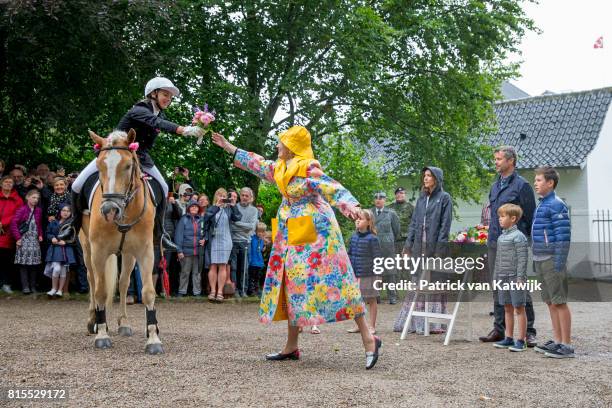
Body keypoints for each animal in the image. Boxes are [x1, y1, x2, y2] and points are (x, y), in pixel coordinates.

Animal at [80, 128, 163, 354]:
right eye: (99, 166)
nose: (109, 210)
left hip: (127, 254)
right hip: (87, 250)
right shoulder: (99, 251)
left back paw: (123, 323)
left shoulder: (145, 251)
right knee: (92, 280)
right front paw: (102, 334)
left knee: (124, 283)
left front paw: (153, 338)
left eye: (127, 165)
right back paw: (93, 321)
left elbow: (147, 292)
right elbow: (100, 291)